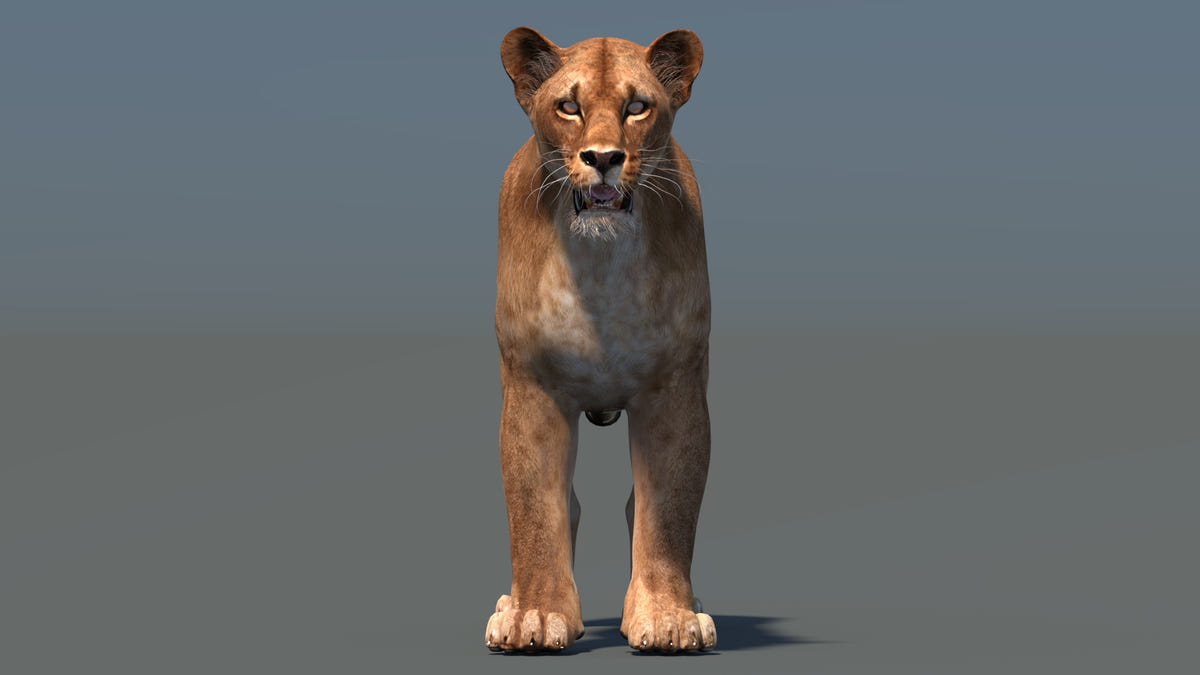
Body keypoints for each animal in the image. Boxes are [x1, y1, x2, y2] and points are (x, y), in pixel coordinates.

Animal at [486, 27, 716, 653]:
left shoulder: (674, 390)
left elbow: (669, 513)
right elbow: (533, 512)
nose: (605, 159)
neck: (601, 262)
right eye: (570, 106)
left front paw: (668, 617)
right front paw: (535, 617)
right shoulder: (533, 387)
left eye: (637, 107)